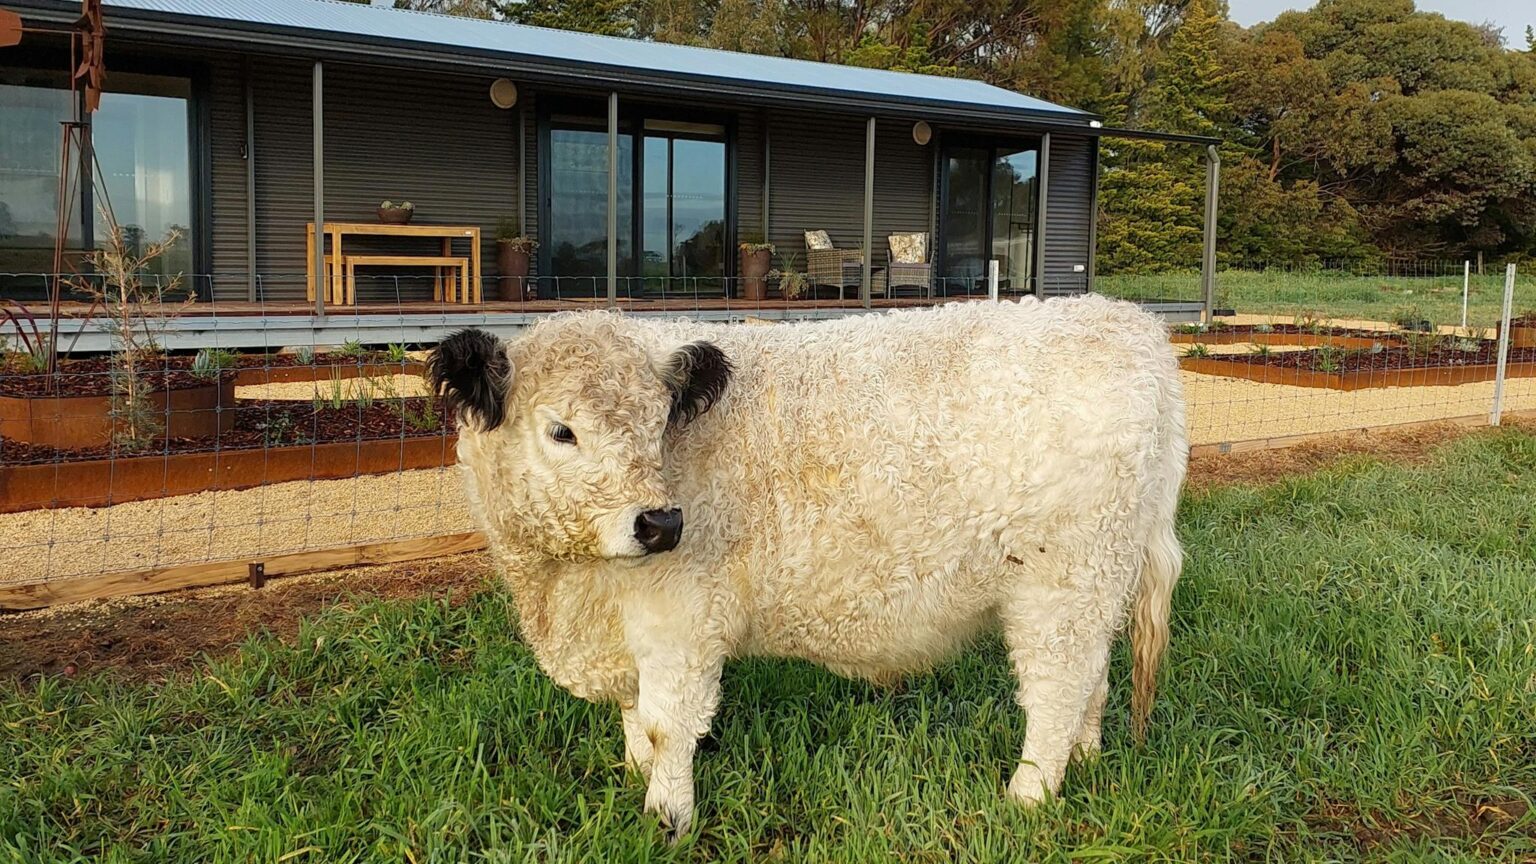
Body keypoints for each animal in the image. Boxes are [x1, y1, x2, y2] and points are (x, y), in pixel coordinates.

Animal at [427, 296, 1187, 839]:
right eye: (561, 430)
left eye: (658, 423)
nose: (661, 523)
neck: (567, 590)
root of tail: (1130, 323)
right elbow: (633, 719)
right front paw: (635, 771)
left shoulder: (682, 624)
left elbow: (667, 725)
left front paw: (667, 817)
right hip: (1096, 587)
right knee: (1092, 680)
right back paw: (1083, 762)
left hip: (1059, 586)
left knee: (1055, 690)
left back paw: (1027, 798)